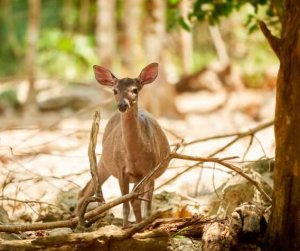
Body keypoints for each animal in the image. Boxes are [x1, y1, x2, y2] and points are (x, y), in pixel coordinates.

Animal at [76, 62, 170, 226]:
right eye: (115, 90)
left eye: (135, 90)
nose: (122, 105)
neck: (134, 156)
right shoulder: (121, 170)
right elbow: (125, 206)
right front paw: (125, 227)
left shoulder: (151, 170)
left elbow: (146, 207)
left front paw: (145, 224)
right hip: (105, 161)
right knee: (85, 191)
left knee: (135, 201)